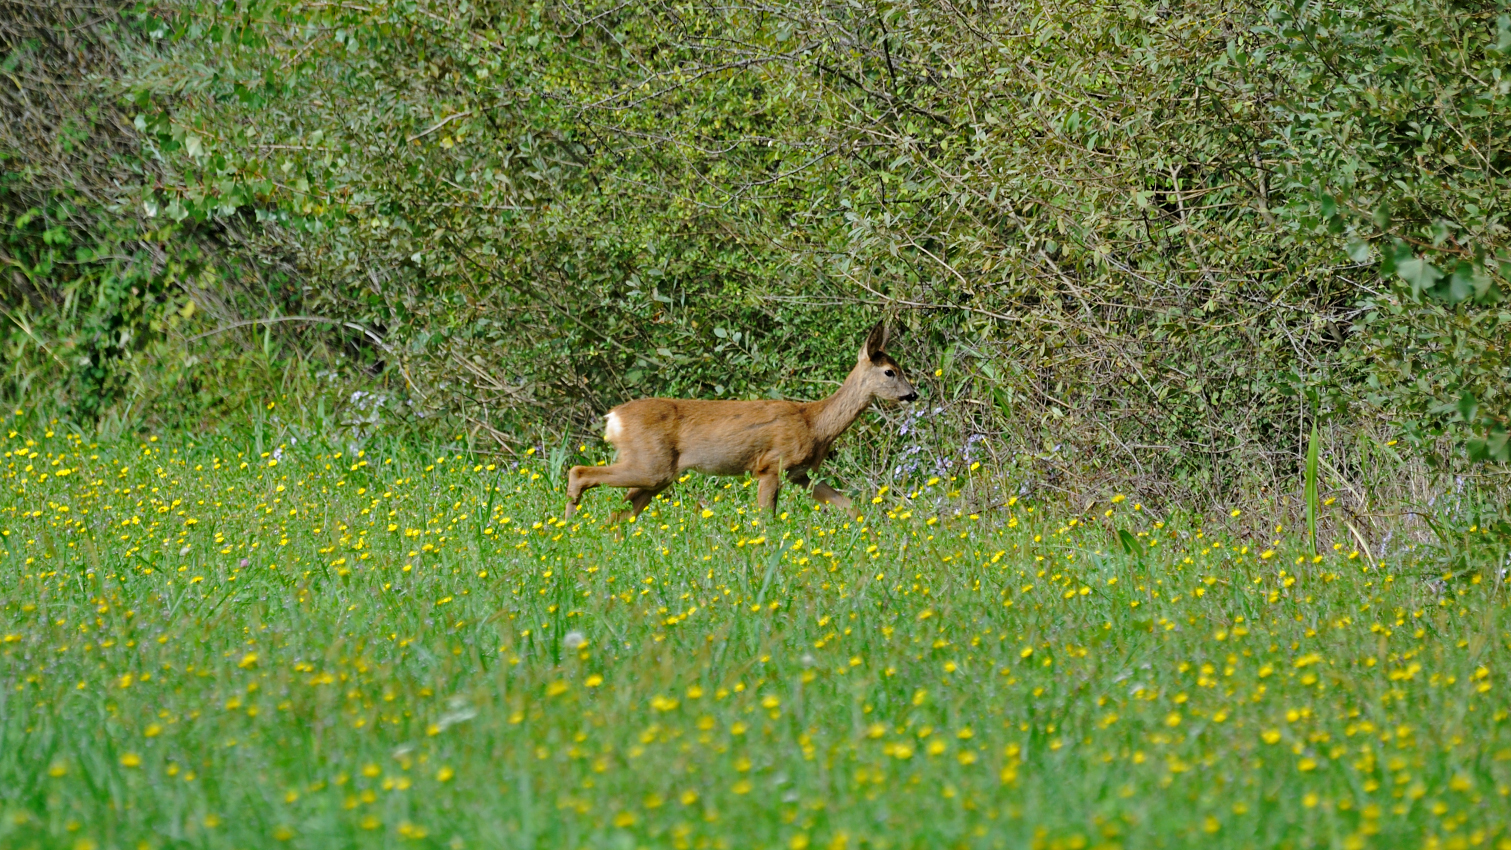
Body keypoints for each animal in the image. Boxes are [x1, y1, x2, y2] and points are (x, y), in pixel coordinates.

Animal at [568, 324, 918, 522]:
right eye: (890, 371)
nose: (912, 394)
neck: (815, 423)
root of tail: (613, 418)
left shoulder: (799, 474)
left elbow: (850, 506)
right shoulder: (770, 465)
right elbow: (766, 521)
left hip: (657, 475)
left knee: (617, 517)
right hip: (652, 465)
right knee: (580, 472)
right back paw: (569, 529)